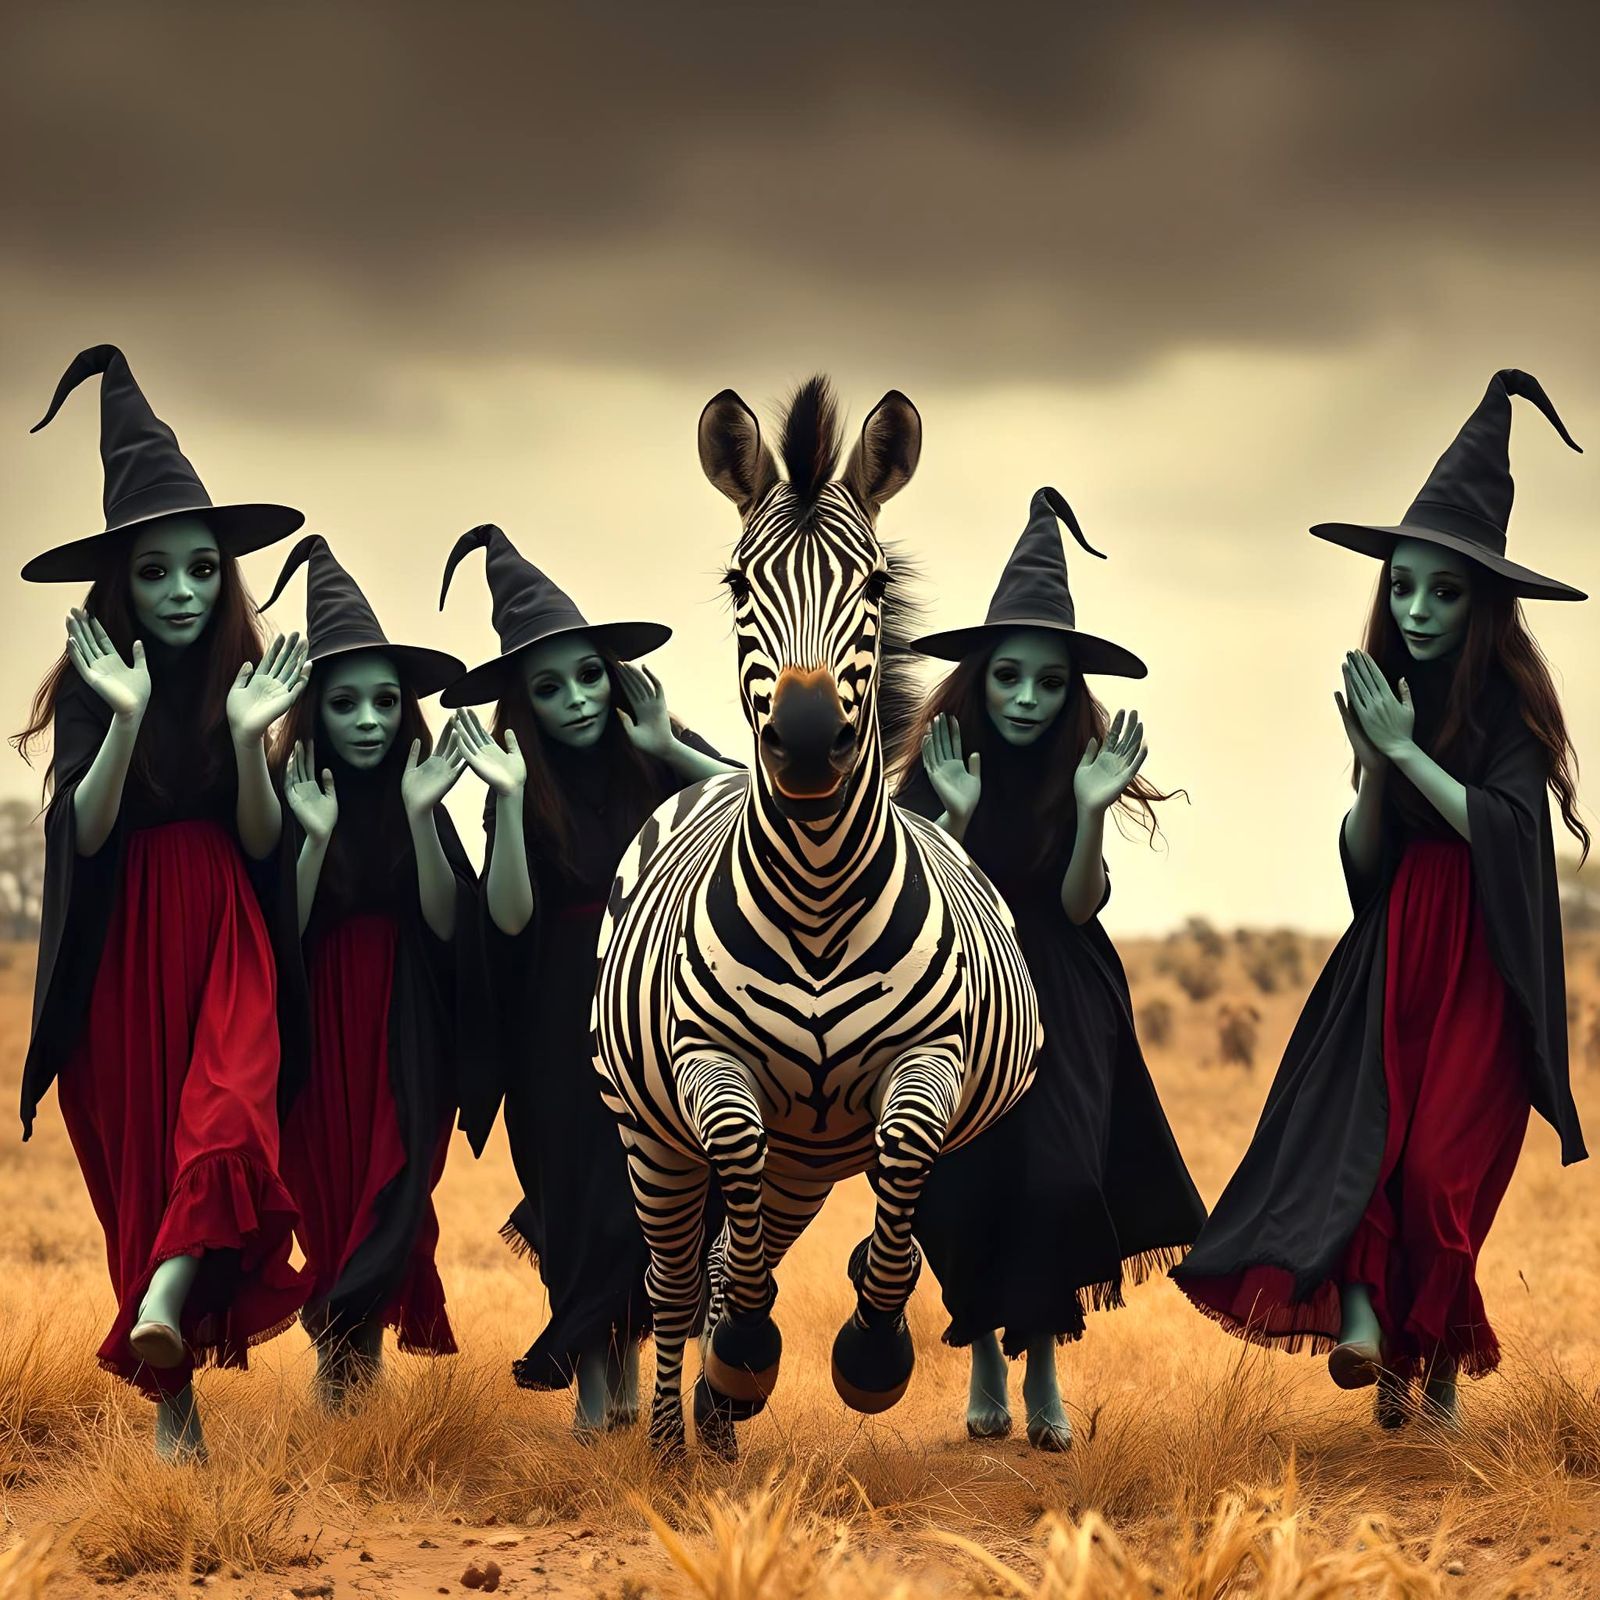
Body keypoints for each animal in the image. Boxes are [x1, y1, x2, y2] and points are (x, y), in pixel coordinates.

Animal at [591, 377, 1042, 1455]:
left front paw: (869, 1349)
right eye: (736, 584)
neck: (818, 891)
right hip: (652, 1132)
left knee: (723, 1260)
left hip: (805, 1157)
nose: (802, 740)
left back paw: (720, 1421)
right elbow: (729, 1194)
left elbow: (905, 1160)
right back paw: (671, 1440)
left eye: (874, 585)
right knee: (675, 1283)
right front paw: (752, 1348)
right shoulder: (711, 1066)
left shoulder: (929, 1060)